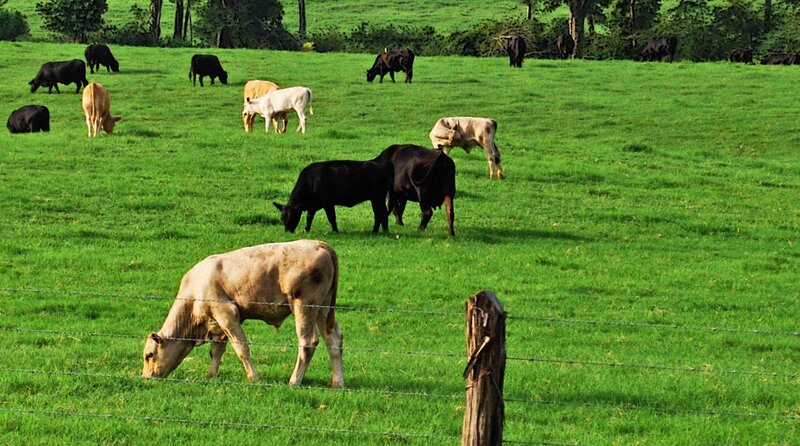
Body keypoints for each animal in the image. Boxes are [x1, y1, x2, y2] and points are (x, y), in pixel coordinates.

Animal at [142, 240, 344, 388]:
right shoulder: (217, 324)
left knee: (308, 342)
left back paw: (294, 381)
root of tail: (319, 244)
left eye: (149, 355)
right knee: (334, 340)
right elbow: (216, 350)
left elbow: (241, 348)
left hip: (304, 306)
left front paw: (253, 377)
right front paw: (210, 375)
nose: (145, 377)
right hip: (323, 309)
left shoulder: (227, 314)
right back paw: (337, 382)